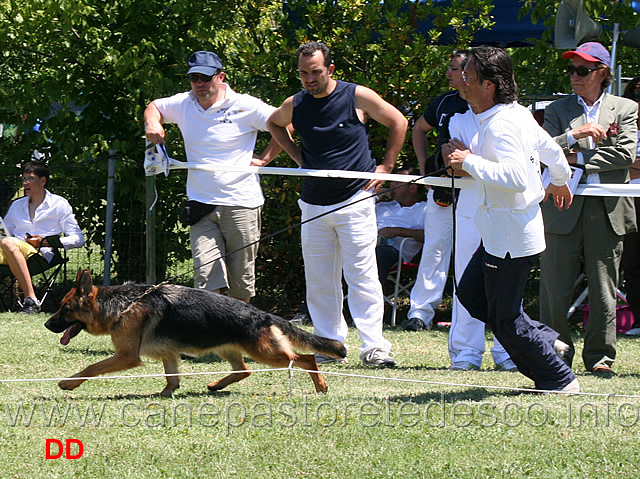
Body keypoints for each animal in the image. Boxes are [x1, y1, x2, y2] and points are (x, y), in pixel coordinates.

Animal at [44, 270, 348, 398]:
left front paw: (69, 383)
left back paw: (321, 387)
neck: (122, 304)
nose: (47, 324)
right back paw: (216, 385)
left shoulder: (127, 356)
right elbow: (171, 377)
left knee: (306, 359)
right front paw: (166, 393)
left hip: (266, 352)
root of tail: (263, 314)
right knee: (244, 370)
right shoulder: (168, 354)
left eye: (65, 309)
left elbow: (92, 367)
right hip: (227, 348)